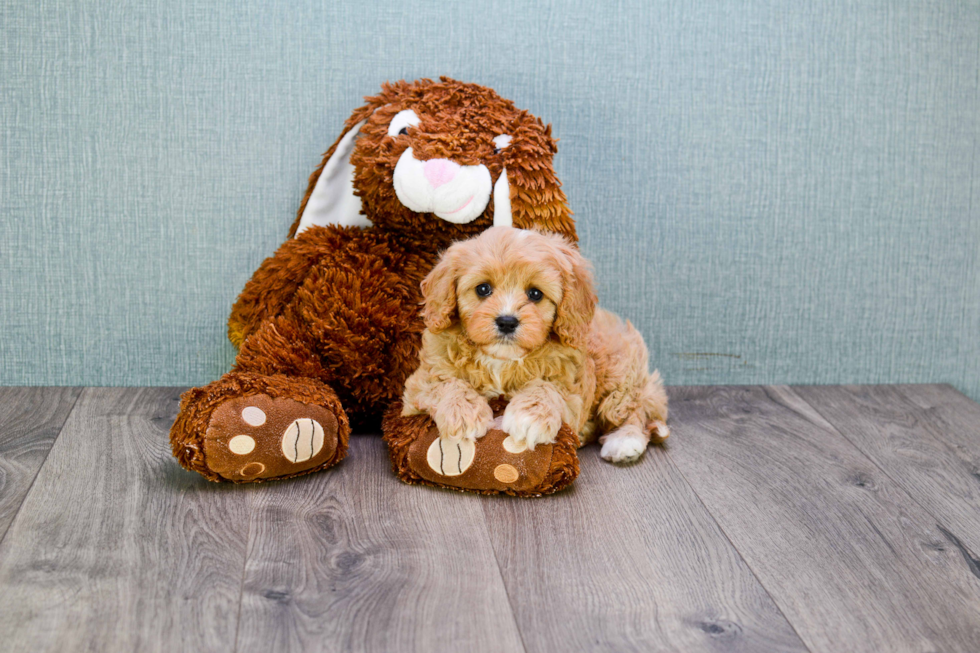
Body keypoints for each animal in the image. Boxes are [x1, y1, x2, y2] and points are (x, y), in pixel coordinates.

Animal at [402, 227, 668, 460]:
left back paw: (625, 441)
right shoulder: (420, 382)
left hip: (621, 377)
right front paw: (463, 413)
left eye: (536, 294)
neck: (501, 359)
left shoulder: (571, 386)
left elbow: (546, 387)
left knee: (637, 410)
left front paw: (530, 417)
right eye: (483, 289)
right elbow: (446, 384)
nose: (507, 321)